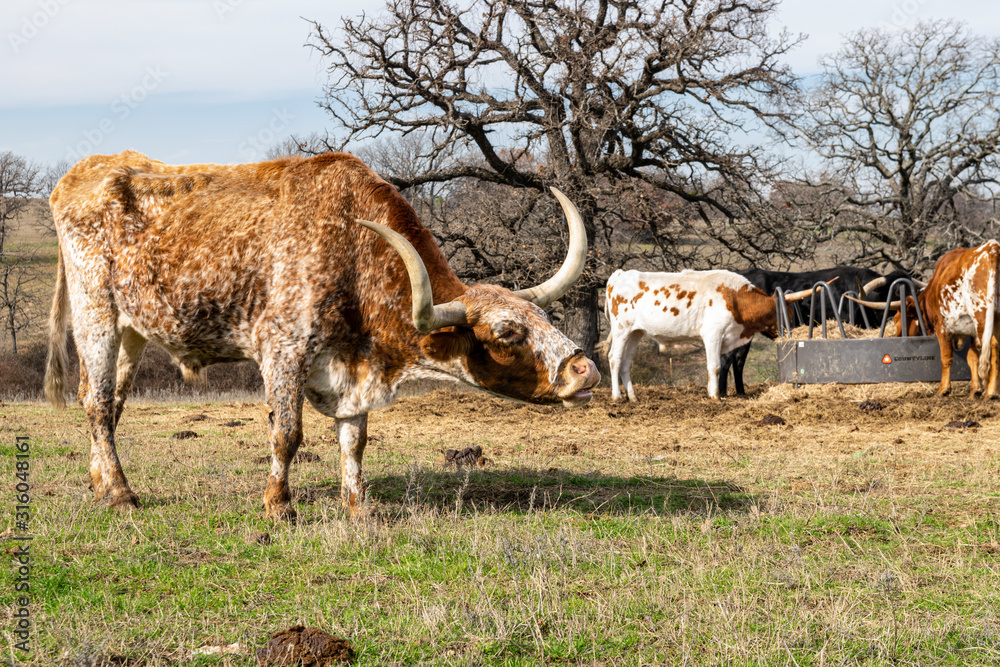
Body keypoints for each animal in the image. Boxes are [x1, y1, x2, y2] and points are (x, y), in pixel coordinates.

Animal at [44, 151, 600, 520]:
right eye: (507, 332)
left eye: (543, 317)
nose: (585, 369)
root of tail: (84, 170)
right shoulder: (282, 350)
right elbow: (286, 434)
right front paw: (279, 507)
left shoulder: (351, 371)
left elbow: (354, 441)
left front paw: (359, 508)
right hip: (96, 316)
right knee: (97, 403)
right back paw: (121, 495)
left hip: (131, 330)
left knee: (106, 402)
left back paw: (100, 484)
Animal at [604, 269, 829, 401]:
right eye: (786, 315)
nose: (796, 331)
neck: (735, 298)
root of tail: (620, 274)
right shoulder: (712, 334)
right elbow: (715, 366)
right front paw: (715, 397)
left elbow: (723, 365)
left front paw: (716, 392)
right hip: (621, 329)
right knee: (614, 359)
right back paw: (617, 397)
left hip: (635, 332)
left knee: (626, 363)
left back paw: (633, 397)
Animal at [849, 242, 1000, 398]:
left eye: (896, 319)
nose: (895, 336)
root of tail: (992, 248)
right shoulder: (970, 330)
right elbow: (972, 358)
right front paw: (975, 389)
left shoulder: (943, 327)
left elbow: (946, 357)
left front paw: (943, 389)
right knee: (995, 349)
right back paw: (992, 391)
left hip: (982, 318)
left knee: (991, 347)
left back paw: (990, 392)